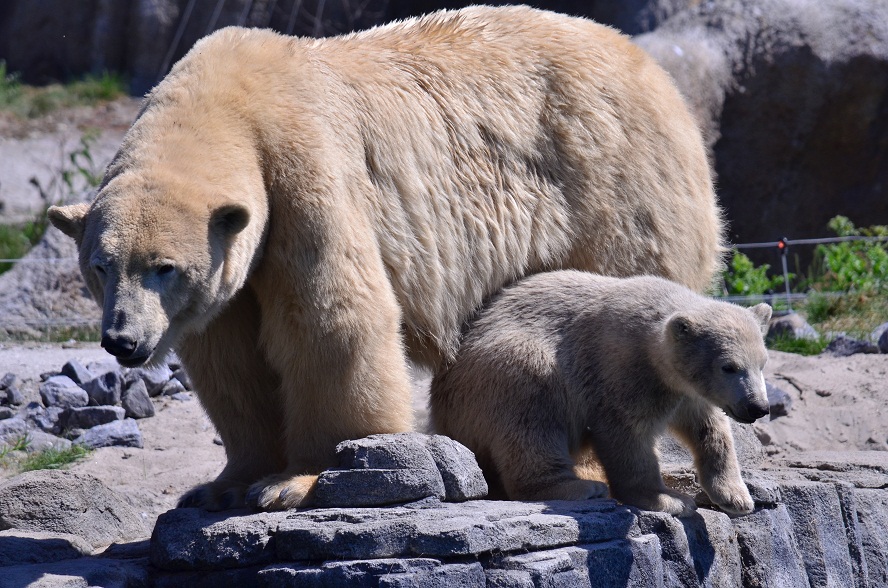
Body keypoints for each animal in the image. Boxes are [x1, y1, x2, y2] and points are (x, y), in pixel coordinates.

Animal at [46, 4, 720, 510]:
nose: (122, 341)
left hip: (612, 190)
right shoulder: (234, 273)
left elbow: (331, 322)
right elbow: (231, 359)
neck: (229, 99)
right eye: (100, 266)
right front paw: (222, 486)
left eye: (164, 267)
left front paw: (298, 480)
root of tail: (657, 75)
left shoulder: (304, 172)